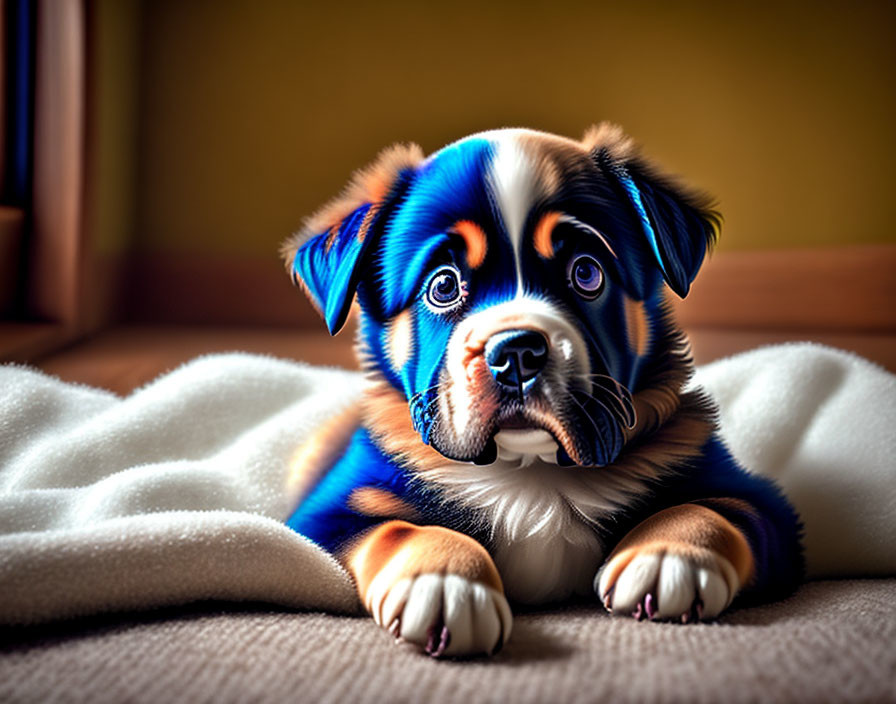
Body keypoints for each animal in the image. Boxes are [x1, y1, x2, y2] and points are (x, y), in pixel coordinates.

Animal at [282, 124, 804, 656]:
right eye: (444, 285)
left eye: (586, 272)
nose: (516, 352)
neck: (531, 471)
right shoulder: (331, 512)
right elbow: (398, 530)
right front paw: (446, 582)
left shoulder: (759, 500)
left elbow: (712, 510)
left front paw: (668, 558)